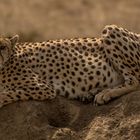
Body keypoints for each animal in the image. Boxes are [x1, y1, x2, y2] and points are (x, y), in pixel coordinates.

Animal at [0, 24, 139, 107]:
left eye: (2, 47)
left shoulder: (43, 88)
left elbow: (9, 93)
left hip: (110, 29)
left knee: (135, 81)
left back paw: (105, 94)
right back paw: (91, 93)